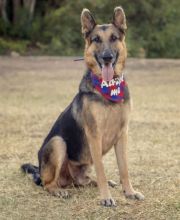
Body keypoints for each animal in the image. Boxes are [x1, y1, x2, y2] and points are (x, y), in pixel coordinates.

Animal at [21, 6, 145, 206]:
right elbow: (102, 171)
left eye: (114, 38)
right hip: (58, 143)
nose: (107, 57)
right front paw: (105, 198)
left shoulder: (122, 134)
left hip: (83, 166)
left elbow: (124, 169)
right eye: (96, 40)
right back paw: (58, 190)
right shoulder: (95, 136)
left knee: (81, 181)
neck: (109, 89)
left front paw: (129, 192)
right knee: (48, 184)